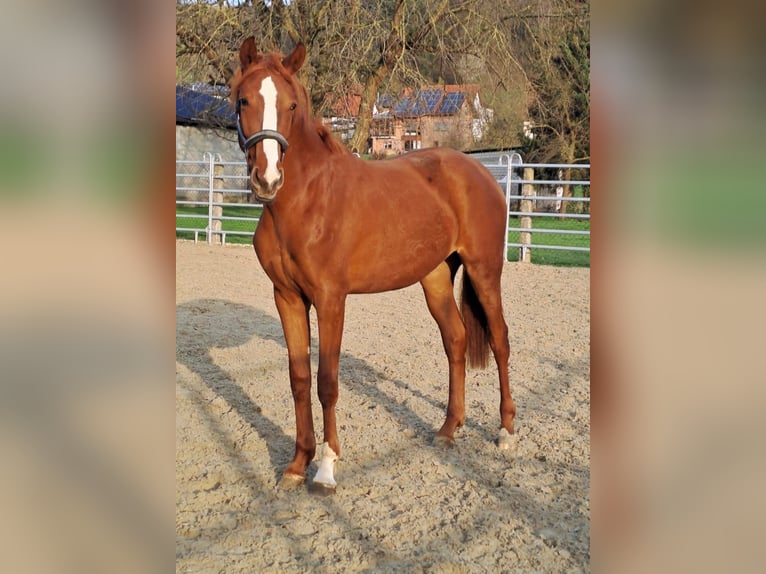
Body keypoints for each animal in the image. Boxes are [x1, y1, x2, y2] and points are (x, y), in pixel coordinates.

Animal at [228, 38, 516, 492]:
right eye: (244, 100)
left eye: (292, 105)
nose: (267, 179)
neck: (306, 201)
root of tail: (479, 171)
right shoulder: (287, 297)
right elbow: (298, 379)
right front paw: (296, 464)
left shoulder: (331, 299)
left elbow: (327, 382)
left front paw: (326, 466)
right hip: (435, 277)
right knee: (455, 340)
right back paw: (448, 429)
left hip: (485, 270)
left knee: (500, 339)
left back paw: (505, 432)